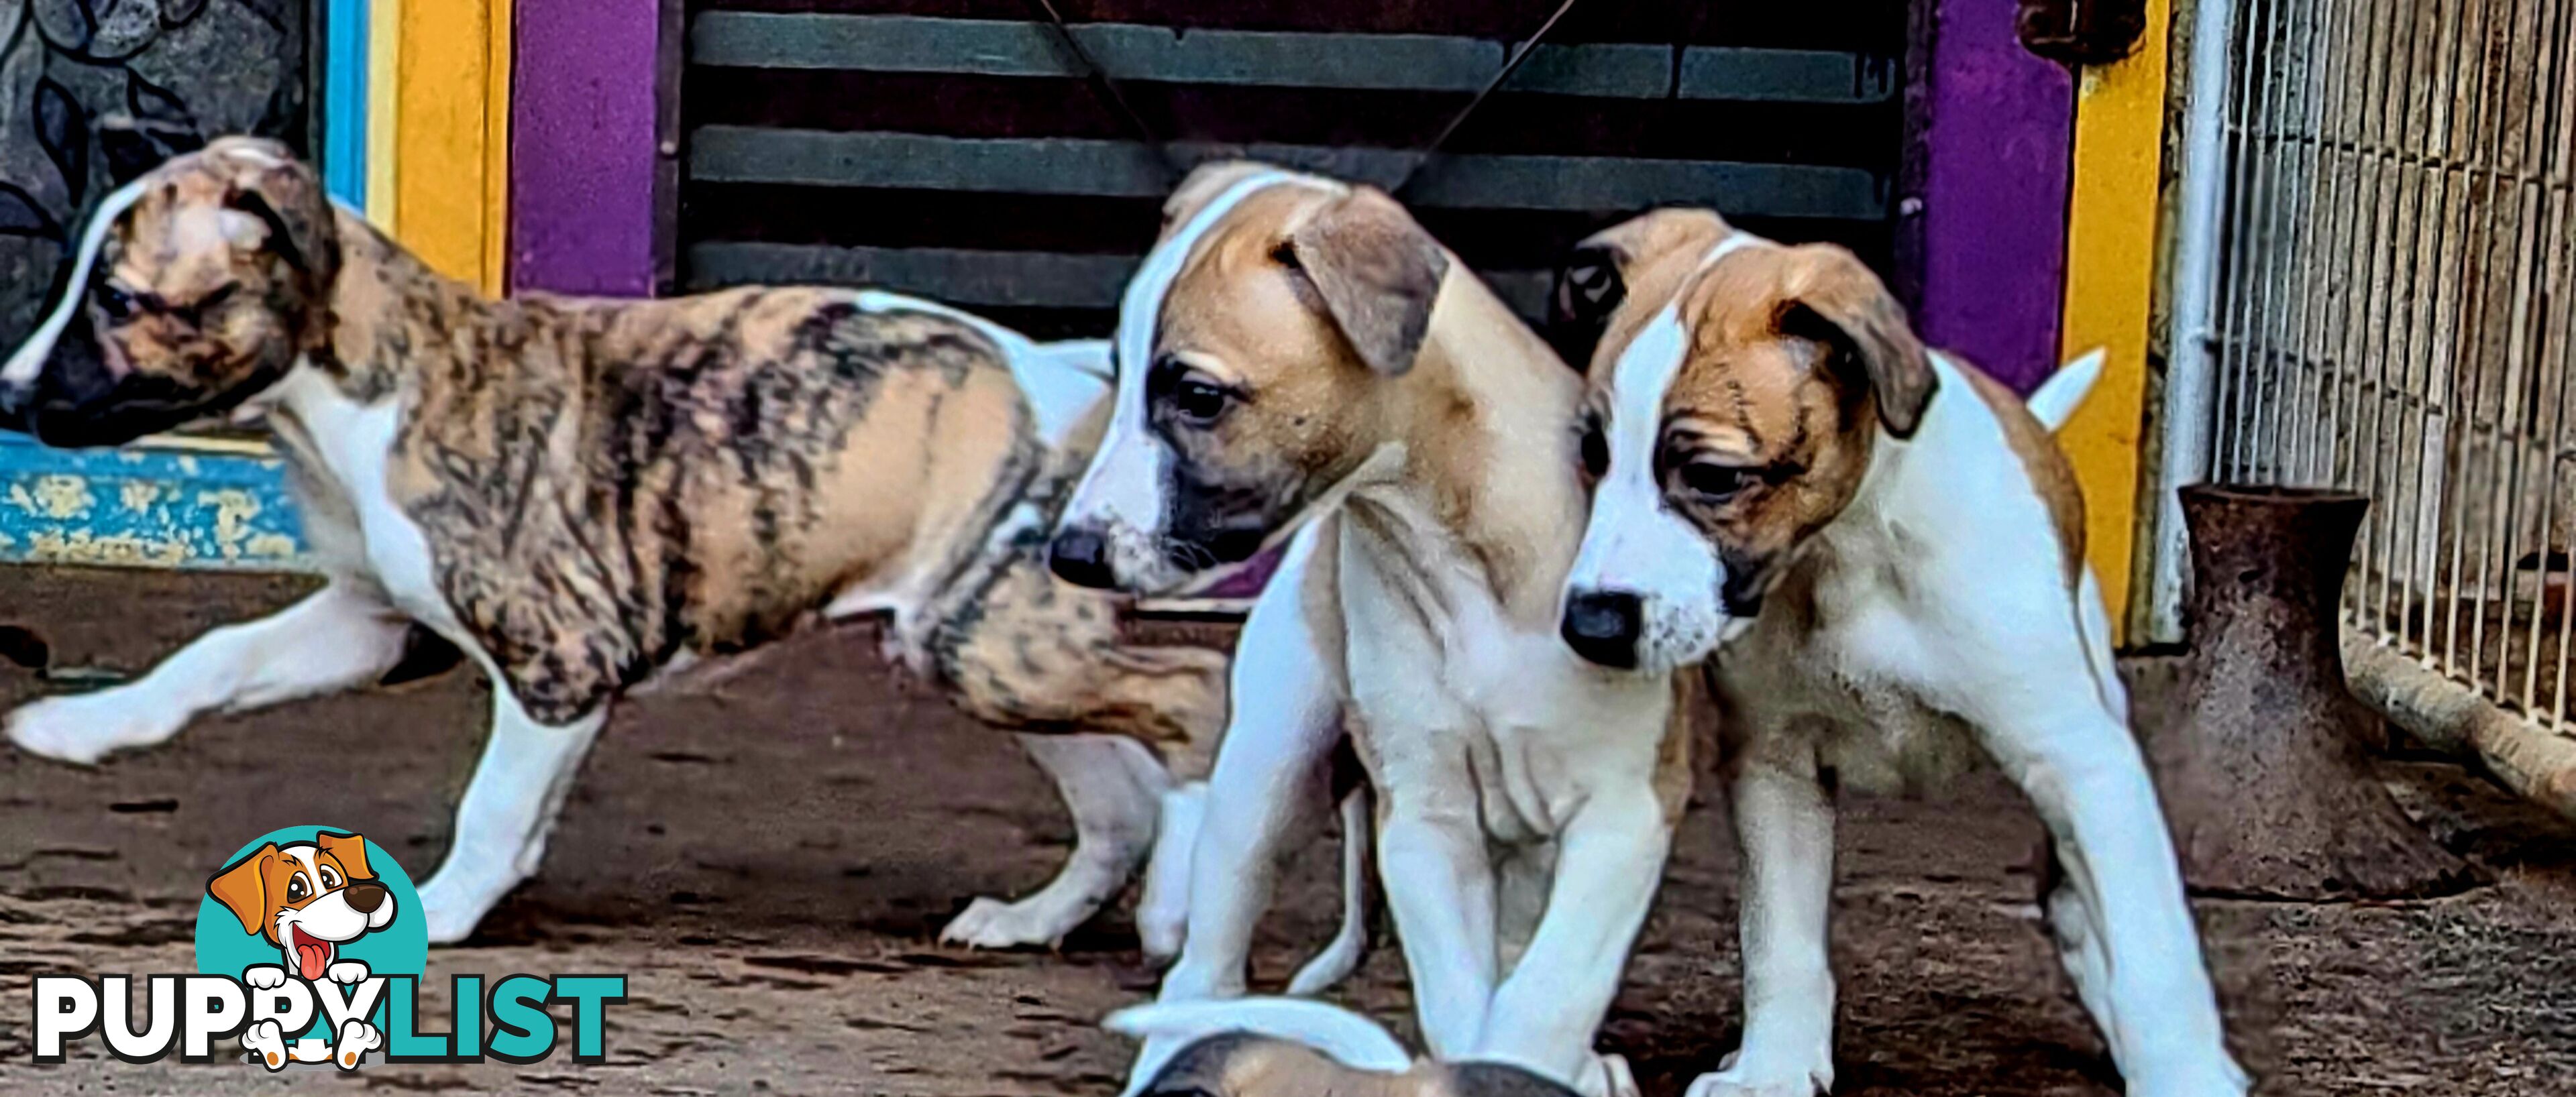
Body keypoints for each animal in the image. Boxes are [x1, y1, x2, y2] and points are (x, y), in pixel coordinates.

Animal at [0, 135, 1370, 958]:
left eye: (119, 301)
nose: (8, 395)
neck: (370, 383)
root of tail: (1091, 380)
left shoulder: (556, 662)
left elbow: (497, 806)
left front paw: (443, 910)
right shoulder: (370, 619)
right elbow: (213, 660)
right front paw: (80, 727)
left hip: (1000, 647)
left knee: (1190, 705)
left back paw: (1182, 907)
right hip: (975, 644)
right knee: (1118, 791)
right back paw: (1036, 921)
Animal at [1051, 162, 1690, 1097]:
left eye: (1198, 396)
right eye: (1119, 371)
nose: (1072, 553)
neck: (1450, 548)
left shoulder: (1623, 813)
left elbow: (1546, 994)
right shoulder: (1425, 818)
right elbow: (1463, 1002)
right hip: (1268, 771)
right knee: (1205, 965)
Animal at [1546, 207, 2236, 1097]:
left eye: (1715, 477)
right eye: (1592, 455)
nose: (1590, 626)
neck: (1846, 555)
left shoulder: (2081, 759)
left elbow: (2153, 947)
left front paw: (2184, 1069)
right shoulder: (1776, 764)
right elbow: (1781, 938)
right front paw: (1773, 1066)